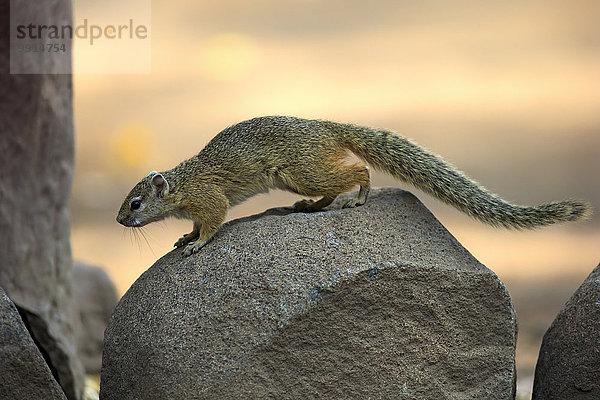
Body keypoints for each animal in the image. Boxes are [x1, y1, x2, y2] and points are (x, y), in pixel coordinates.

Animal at [116, 115, 592, 256]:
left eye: (135, 204)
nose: (119, 220)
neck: (181, 185)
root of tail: (326, 127)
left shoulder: (209, 199)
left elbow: (213, 222)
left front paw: (197, 244)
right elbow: (195, 224)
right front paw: (184, 237)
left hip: (301, 172)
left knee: (359, 171)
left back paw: (359, 198)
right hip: (301, 177)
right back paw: (312, 207)